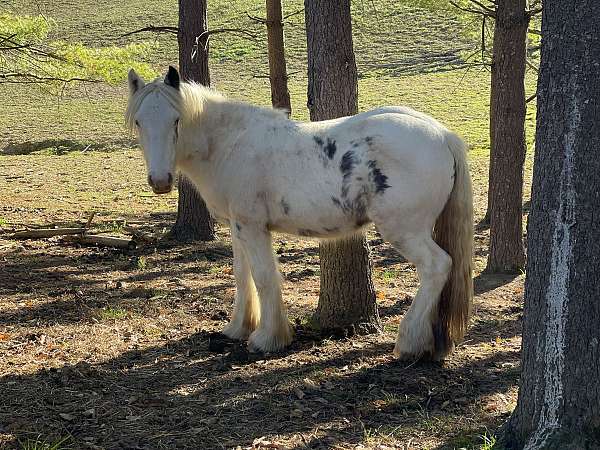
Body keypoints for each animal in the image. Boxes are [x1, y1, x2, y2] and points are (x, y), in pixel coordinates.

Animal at [125, 67, 474, 360]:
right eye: (140, 122)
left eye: (175, 120)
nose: (160, 181)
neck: (229, 143)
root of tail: (442, 134)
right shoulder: (238, 227)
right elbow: (242, 276)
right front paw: (238, 328)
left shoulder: (253, 227)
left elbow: (264, 278)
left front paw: (267, 338)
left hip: (405, 230)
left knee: (437, 267)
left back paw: (410, 341)